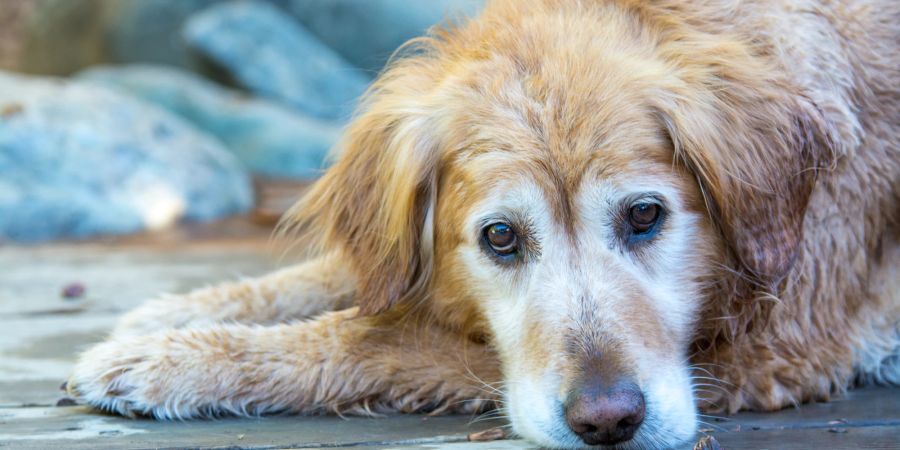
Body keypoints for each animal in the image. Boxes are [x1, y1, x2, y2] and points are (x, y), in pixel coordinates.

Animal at [70, 1, 900, 448]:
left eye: (645, 216)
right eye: (500, 237)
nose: (608, 421)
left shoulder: (774, 349)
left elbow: (379, 337)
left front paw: (174, 360)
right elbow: (347, 278)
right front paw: (172, 315)